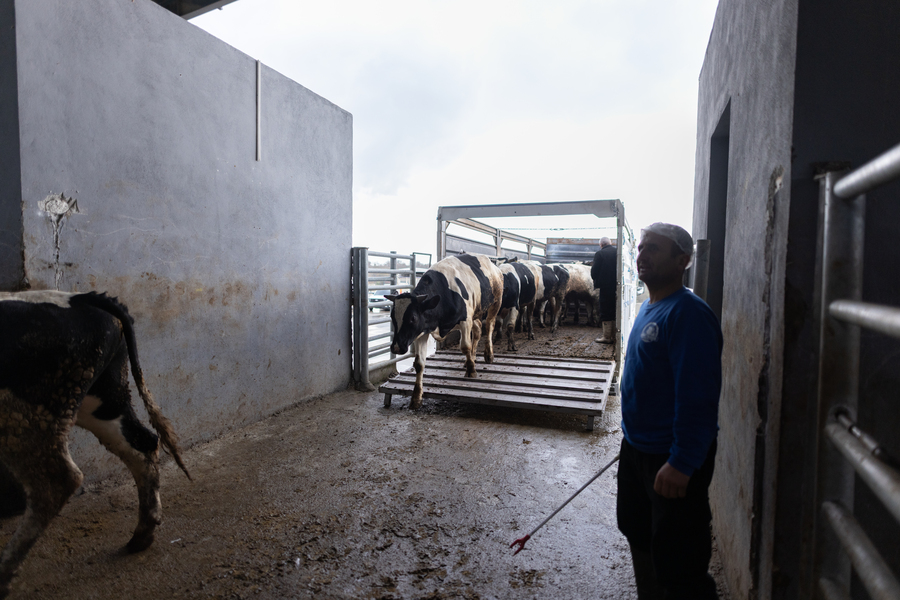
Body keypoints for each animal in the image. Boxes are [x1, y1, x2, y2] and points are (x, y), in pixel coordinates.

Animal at [0, 291, 190, 599]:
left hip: (27, 411)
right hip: (103, 397)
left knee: (57, 480)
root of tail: (78, 297)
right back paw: (142, 534)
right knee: (143, 443)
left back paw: (4, 573)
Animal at [386, 253, 503, 409]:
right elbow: (419, 363)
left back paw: (488, 355)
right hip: (475, 313)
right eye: (392, 316)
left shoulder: (465, 320)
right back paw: (471, 359)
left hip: (495, 303)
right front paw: (416, 397)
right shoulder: (422, 332)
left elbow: (465, 346)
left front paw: (471, 371)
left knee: (489, 326)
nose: (397, 347)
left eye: (413, 318)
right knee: (478, 330)